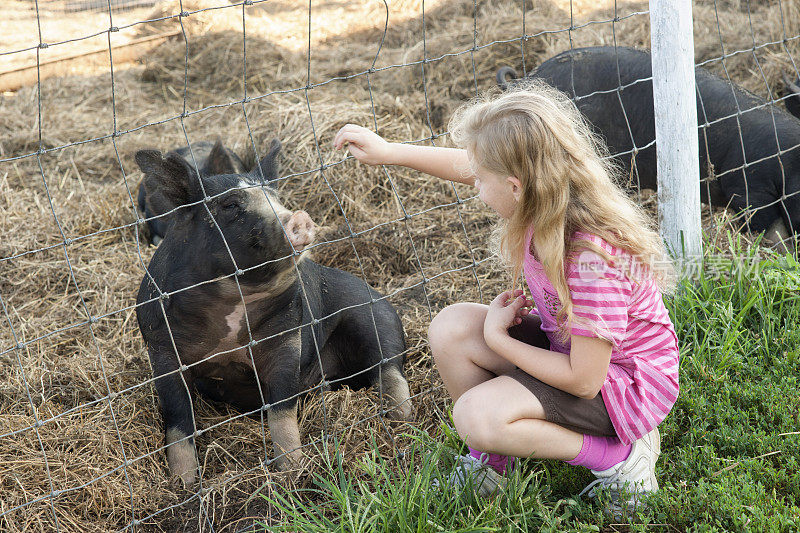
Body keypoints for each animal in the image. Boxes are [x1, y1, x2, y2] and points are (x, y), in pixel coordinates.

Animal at [134, 140, 412, 486]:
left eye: (276, 198)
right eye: (229, 205)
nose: (299, 217)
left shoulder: (286, 337)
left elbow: (282, 409)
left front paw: (293, 471)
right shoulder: (160, 348)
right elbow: (178, 419)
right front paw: (184, 484)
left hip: (374, 315)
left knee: (388, 368)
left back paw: (401, 419)